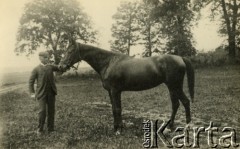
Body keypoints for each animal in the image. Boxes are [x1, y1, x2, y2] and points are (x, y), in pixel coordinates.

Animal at [58, 40, 195, 133]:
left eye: (70, 51)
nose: (60, 66)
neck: (109, 62)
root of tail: (179, 58)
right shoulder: (111, 92)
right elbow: (114, 109)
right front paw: (116, 127)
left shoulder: (115, 91)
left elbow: (118, 109)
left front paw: (119, 129)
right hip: (172, 87)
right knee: (176, 104)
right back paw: (170, 127)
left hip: (175, 86)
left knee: (185, 102)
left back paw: (187, 126)